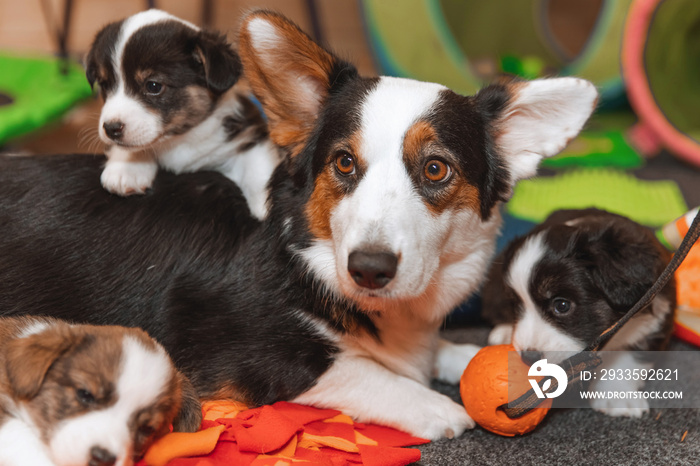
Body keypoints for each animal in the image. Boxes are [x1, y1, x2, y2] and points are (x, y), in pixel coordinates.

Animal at [87, 7, 282, 218]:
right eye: (105, 85)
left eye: (153, 86)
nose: (110, 128)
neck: (180, 139)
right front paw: (127, 168)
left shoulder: (249, 132)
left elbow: (258, 168)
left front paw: (267, 206)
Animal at [484, 208, 676, 416]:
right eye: (516, 305)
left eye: (562, 305)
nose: (529, 358)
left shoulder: (656, 316)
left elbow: (629, 357)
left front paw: (618, 397)